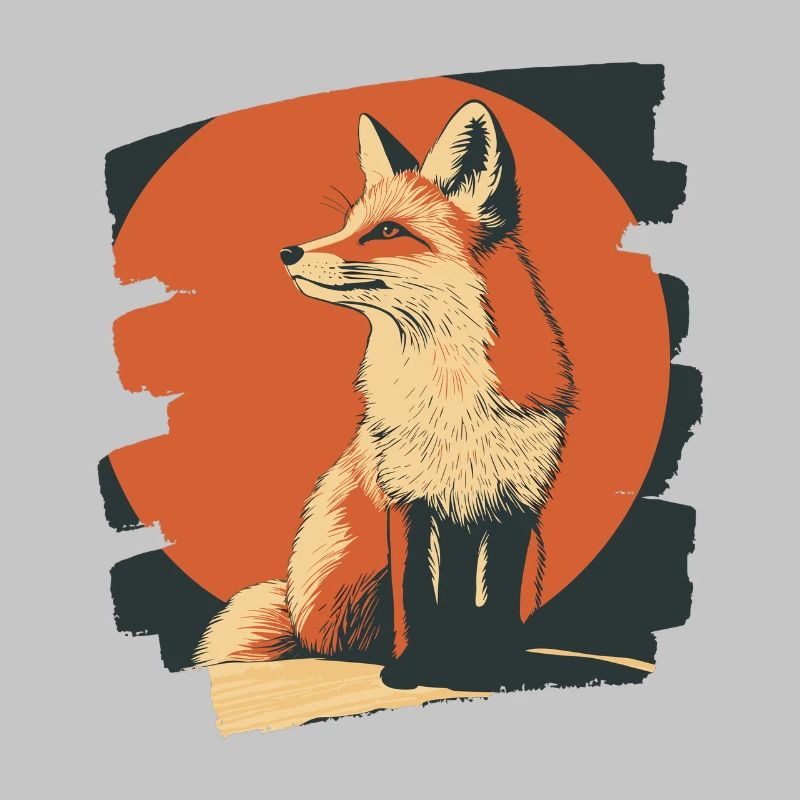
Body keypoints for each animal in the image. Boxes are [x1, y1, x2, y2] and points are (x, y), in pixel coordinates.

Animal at [194, 100, 575, 690]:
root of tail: (296, 618)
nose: (288, 251)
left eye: (388, 231)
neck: (451, 400)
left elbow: (494, 603)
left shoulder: (515, 507)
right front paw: (410, 670)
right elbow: (415, 594)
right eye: (348, 225)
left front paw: (495, 668)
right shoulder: (406, 499)